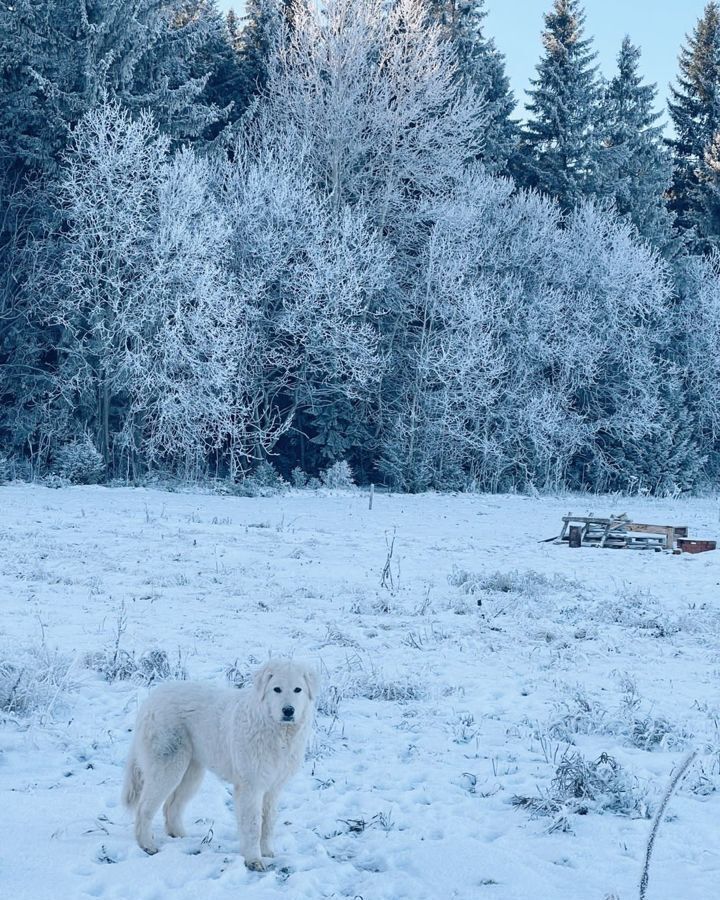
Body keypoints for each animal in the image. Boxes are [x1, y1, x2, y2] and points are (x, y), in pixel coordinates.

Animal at [121, 656, 318, 868]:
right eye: (277, 689)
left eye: (298, 689)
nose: (288, 711)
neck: (277, 731)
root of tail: (151, 699)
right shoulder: (251, 786)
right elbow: (253, 825)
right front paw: (254, 860)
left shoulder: (273, 787)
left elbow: (268, 822)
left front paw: (266, 852)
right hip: (168, 767)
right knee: (144, 808)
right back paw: (147, 845)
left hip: (191, 772)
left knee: (171, 806)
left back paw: (181, 836)